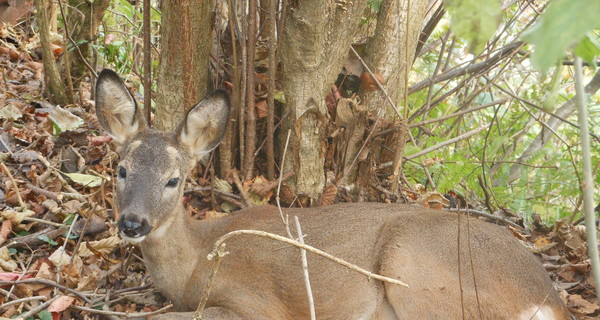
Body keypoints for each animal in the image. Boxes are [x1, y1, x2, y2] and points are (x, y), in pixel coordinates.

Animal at [95, 70, 572, 320]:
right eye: (121, 169)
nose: (132, 223)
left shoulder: (258, 304)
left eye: (173, 180)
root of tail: (546, 298)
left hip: (417, 270)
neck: (199, 258)